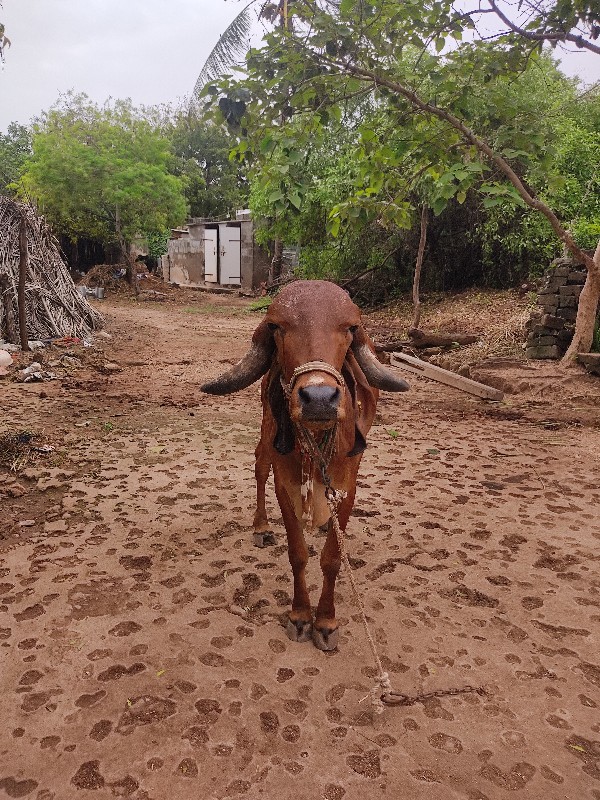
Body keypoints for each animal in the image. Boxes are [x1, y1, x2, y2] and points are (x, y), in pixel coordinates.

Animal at [202, 282, 408, 648]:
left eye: (349, 328)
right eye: (277, 327)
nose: (319, 399)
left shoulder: (347, 486)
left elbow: (332, 559)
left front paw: (325, 621)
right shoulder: (285, 483)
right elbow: (297, 553)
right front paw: (300, 616)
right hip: (267, 430)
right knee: (259, 464)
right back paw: (261, 526)